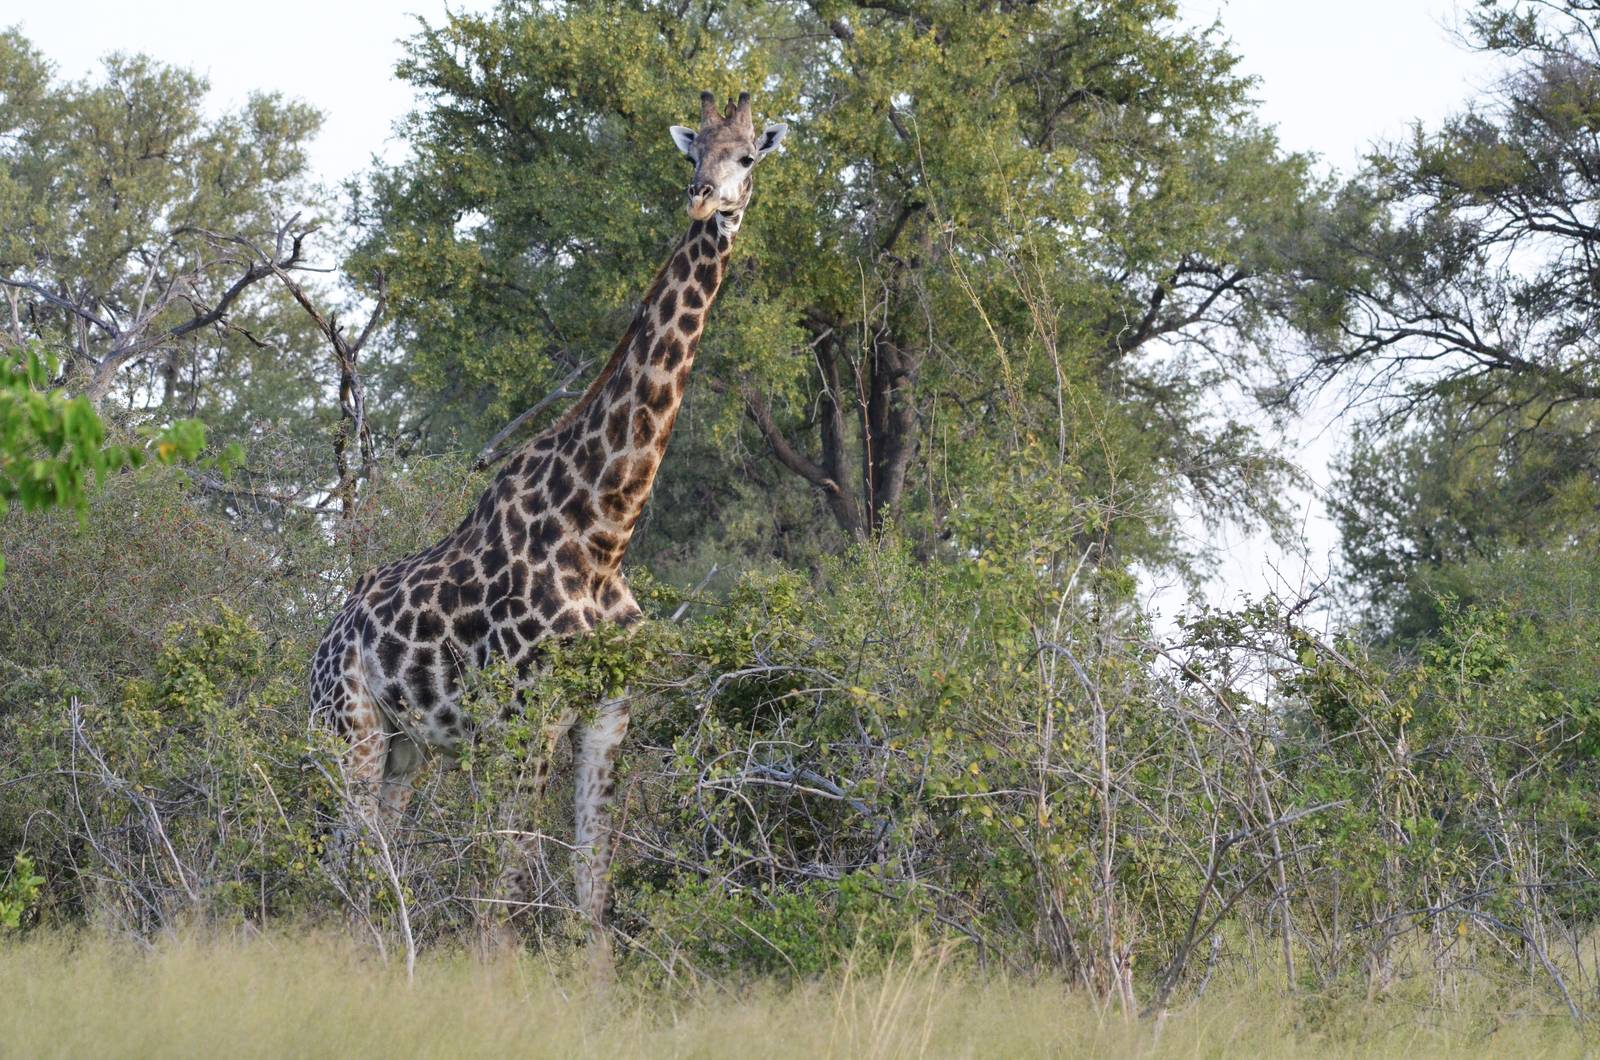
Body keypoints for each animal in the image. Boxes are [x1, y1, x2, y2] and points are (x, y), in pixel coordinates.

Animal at [308, 90, 786, 945]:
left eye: (746, 157)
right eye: (692, 150)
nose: (704, 198)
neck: (603, 528)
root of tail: (318, 648)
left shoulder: (608, 715)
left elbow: (590, 888)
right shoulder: (527, 714)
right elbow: (503, 884)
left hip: (405, 747)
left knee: (372, 860)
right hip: (349, 730)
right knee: (346, 856)